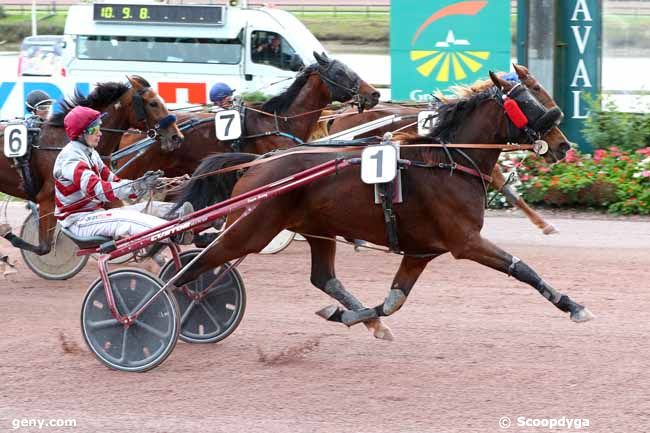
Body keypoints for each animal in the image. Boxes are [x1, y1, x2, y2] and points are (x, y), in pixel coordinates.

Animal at [0, 76, 182, 278]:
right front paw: (7, 236)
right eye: (153, 103)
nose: (176, 137)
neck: (64, 141)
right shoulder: (47, 197)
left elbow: (120, 206)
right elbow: (44, 247)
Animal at [326, 62, 560, 235]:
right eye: (535, 89)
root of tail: (340, 113)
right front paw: (546, 225)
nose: (562, 144)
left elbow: (508, 190)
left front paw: (544, 224)